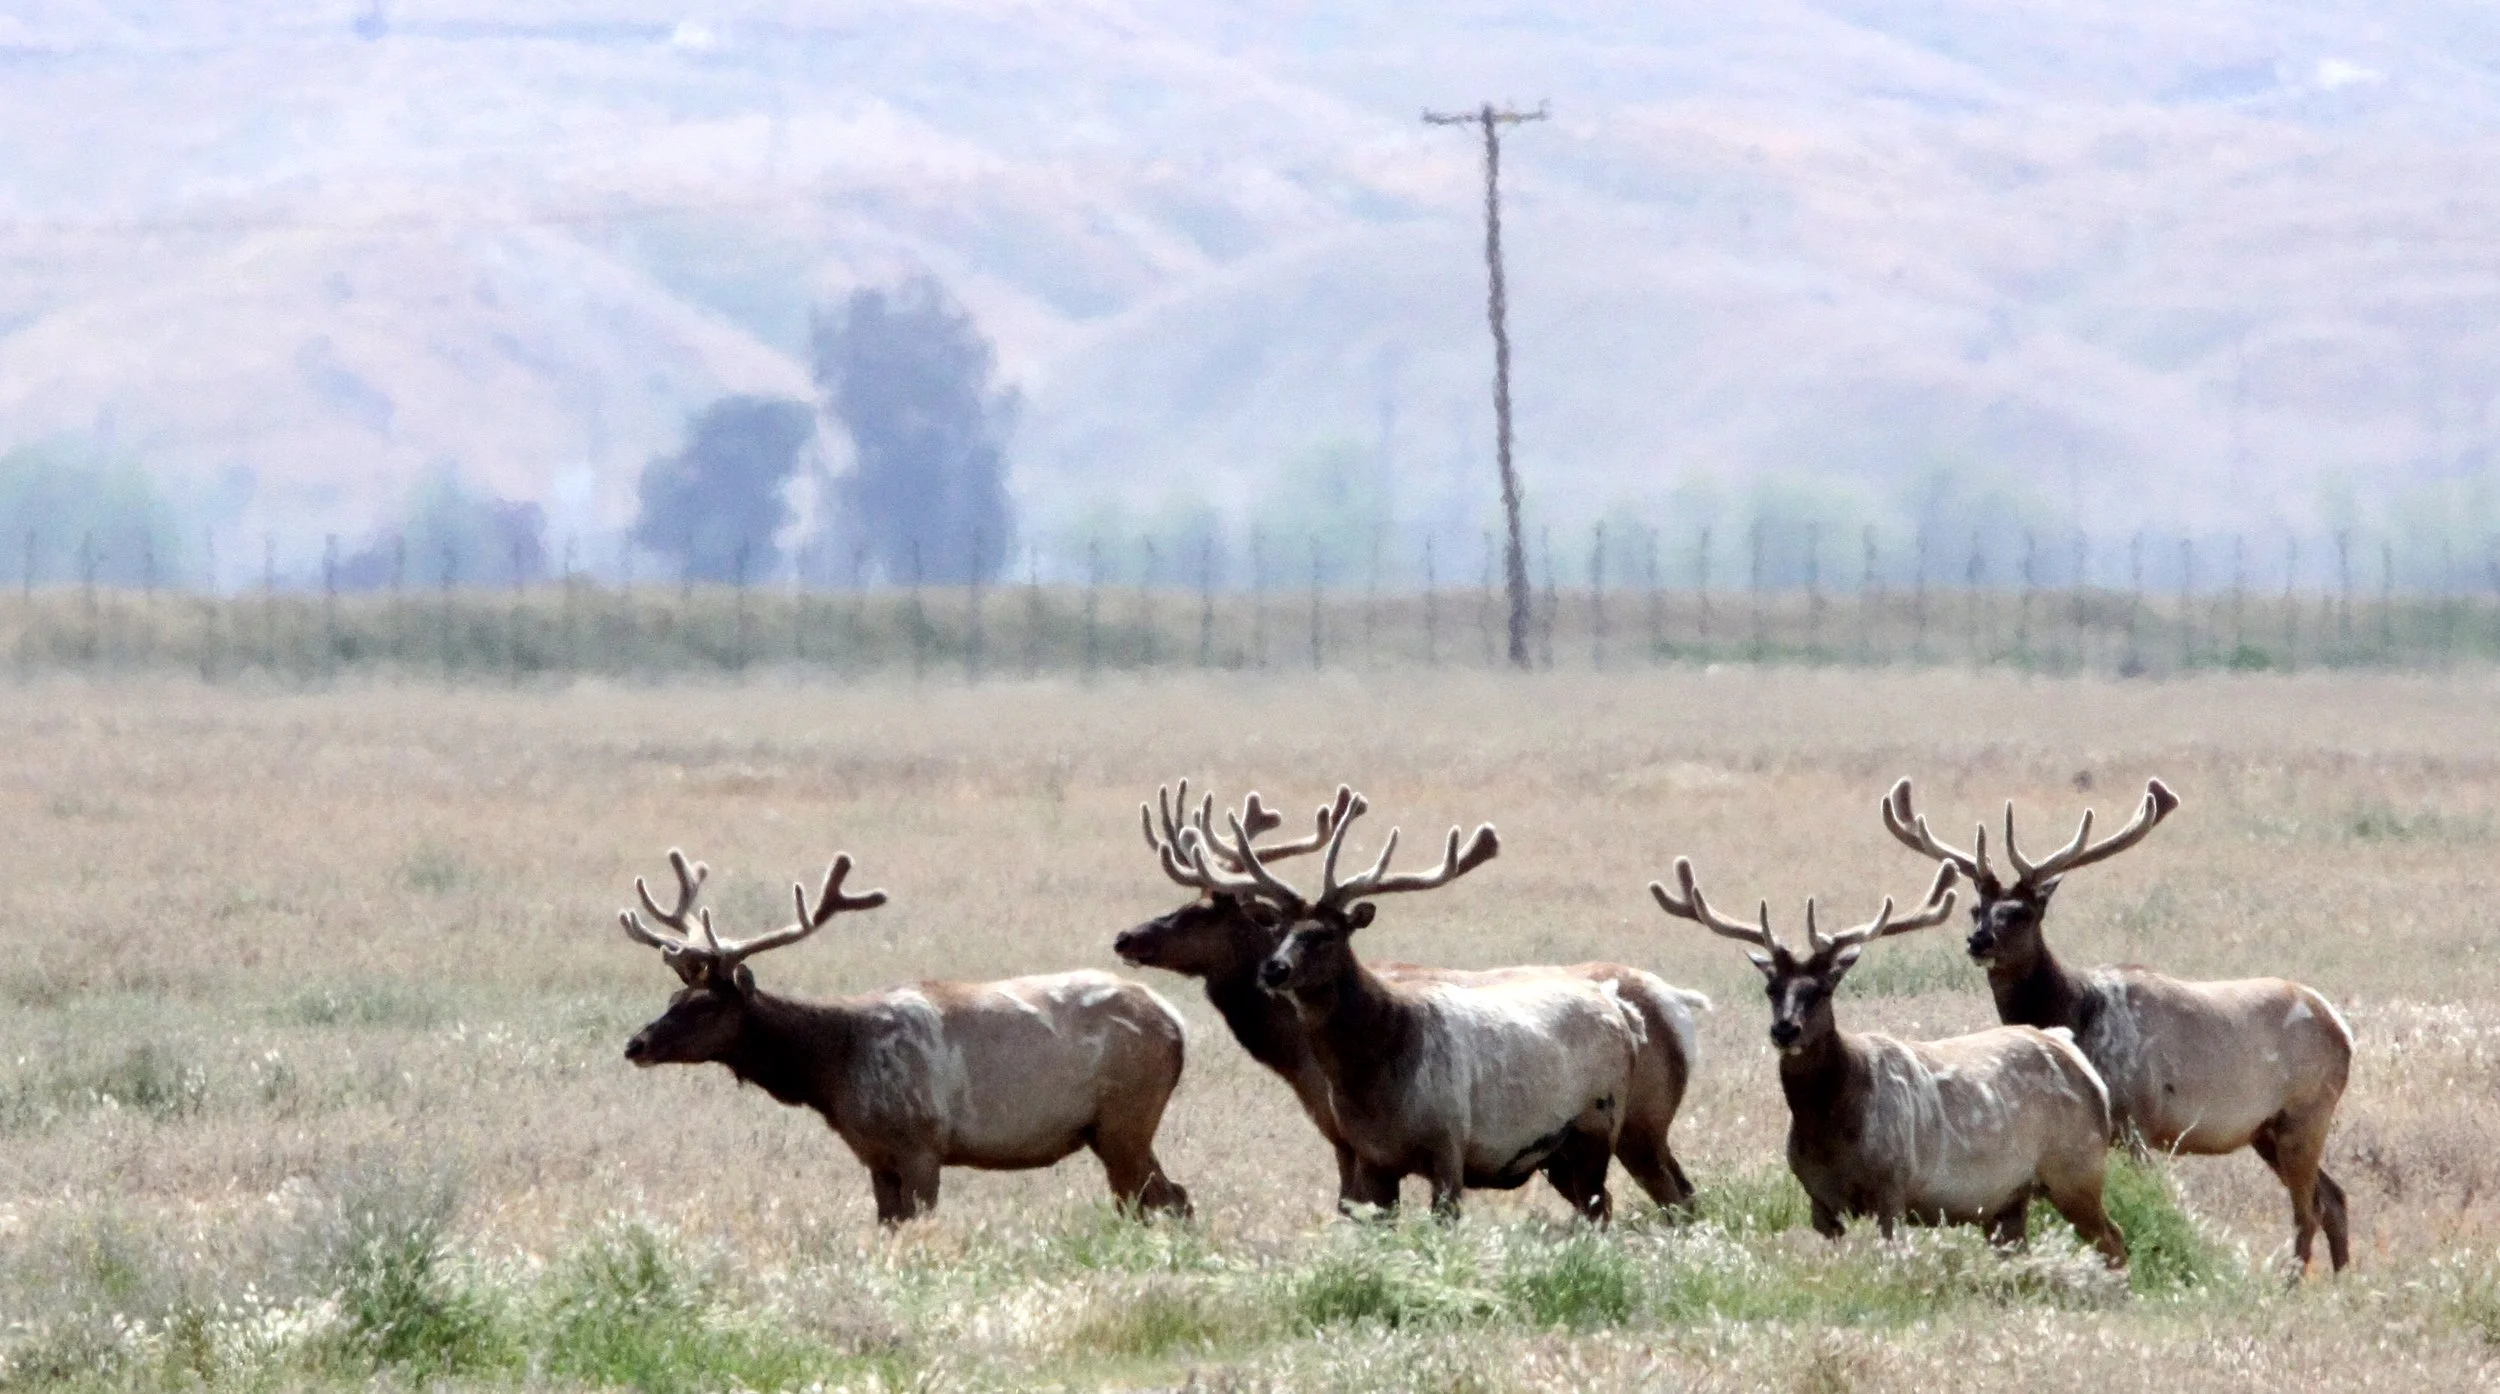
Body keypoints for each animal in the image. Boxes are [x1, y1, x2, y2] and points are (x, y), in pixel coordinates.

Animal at [615, 848, 1191, 1224]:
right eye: (673, 997)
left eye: (705, 1005)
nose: (635, 1044)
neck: (833, 1070)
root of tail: (1178, 1025)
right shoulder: (876, 1157)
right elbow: (888, 1227)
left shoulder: (921, 1142)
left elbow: (920, 1226)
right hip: (1112, 1128)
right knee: (1167, 1198)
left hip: (1126, 1118)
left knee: (1166, 1200)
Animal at [1115, 781, 1705, 1215]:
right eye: (1275, 925)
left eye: (1202, 912)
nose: (1126, 937)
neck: (1297, 1060)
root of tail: (1669, 1003)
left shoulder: (1360, 1144)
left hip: (1635, 1123)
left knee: (1671, 1196)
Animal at [1650, 857, 2129, 1267]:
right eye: (1772, 988)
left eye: (1822, 989)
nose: (1785, 1030)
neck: (1832, 1133)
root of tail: (2081, 1063)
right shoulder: (1819, 1203)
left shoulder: (1893, 1186)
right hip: (2010, 1198)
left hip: (2077, 1166)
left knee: (2115, 1238)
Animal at [1881, 777, 2353, 1273]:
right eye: (1975, 909)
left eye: (2022, 913)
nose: (1978, 941)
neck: (2075, 1012)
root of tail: (2344, 1031)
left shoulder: (2136, 1118)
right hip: (2267, 1129)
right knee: (2333, 1198)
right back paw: (2340, 1281)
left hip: (2307, 1109)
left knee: (2309, 1208)